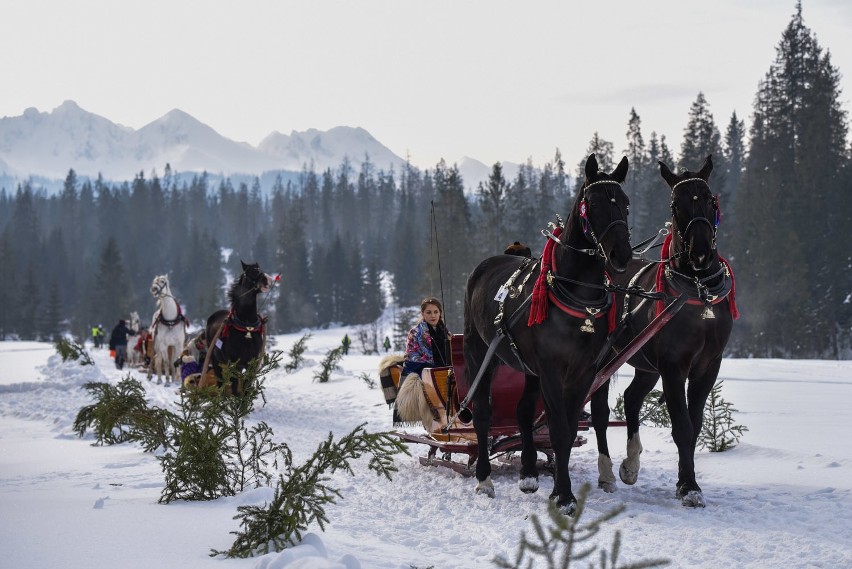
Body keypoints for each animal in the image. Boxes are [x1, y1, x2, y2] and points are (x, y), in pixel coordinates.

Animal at [204, 262, 272, 394]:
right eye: (250, 272)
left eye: (259, 269)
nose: (268, 279)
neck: (247, 328)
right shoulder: (235, 363)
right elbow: (235, 388)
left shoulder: (252, 364)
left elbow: (246, 387)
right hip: (216, 361)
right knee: (221, 382)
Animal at [466, 153, 632, 512]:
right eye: (593, 203)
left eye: (625, 202)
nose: (621, 254)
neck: (577, 294)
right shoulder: (552, 370)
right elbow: (556, 429)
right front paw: (565, 496)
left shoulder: (584, 371)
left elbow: (567, 431)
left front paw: (558, 489)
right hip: (479, 352)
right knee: (483, 413)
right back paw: (484, 479)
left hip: (529, 369)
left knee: (523, 411)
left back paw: (529, 473)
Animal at [592, 154, 740, 506]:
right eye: (676, 204)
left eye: (710, 199)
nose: (700, 250)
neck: (697, 291)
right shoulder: (673, 366)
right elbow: (682, 427)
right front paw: (690, 487)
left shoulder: (707, 366)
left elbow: (694, 425)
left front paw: (685, 480)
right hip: (605, 360)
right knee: (600, 412)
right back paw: (606, 473)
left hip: (645, 364)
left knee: (632, 398)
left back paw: (630, 465)